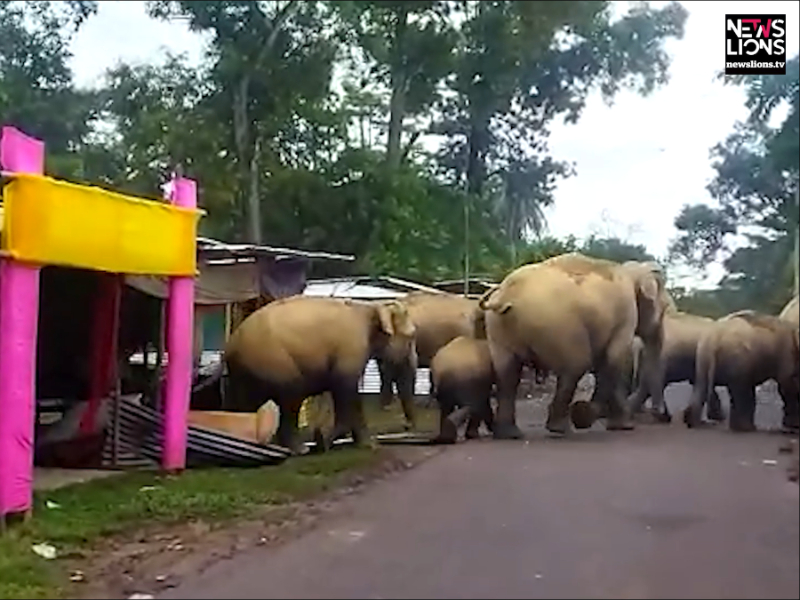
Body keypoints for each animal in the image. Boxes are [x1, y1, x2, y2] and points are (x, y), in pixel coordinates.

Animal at [211, 296, 418, 454]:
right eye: (411, 336)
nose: (407, 429)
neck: (371, 306)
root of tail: (231, 346)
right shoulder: (351, 349)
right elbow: (346, 389)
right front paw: (333, 443)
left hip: (245, 371)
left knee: (243, 405)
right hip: (272, 361)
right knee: (291, 397)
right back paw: (300, 449)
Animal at [478, 251, 672, 438]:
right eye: (664, 309)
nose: (663, 415)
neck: (631, 270)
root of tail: (505, 297)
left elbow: (604, 363)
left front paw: (608, 421)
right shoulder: (626, 315)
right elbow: (612, 360)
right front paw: (595, 419)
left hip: (498, 328)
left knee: (508, 375)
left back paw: (510, 434)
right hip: (557, 324)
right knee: (575, 366)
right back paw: (559, 428)